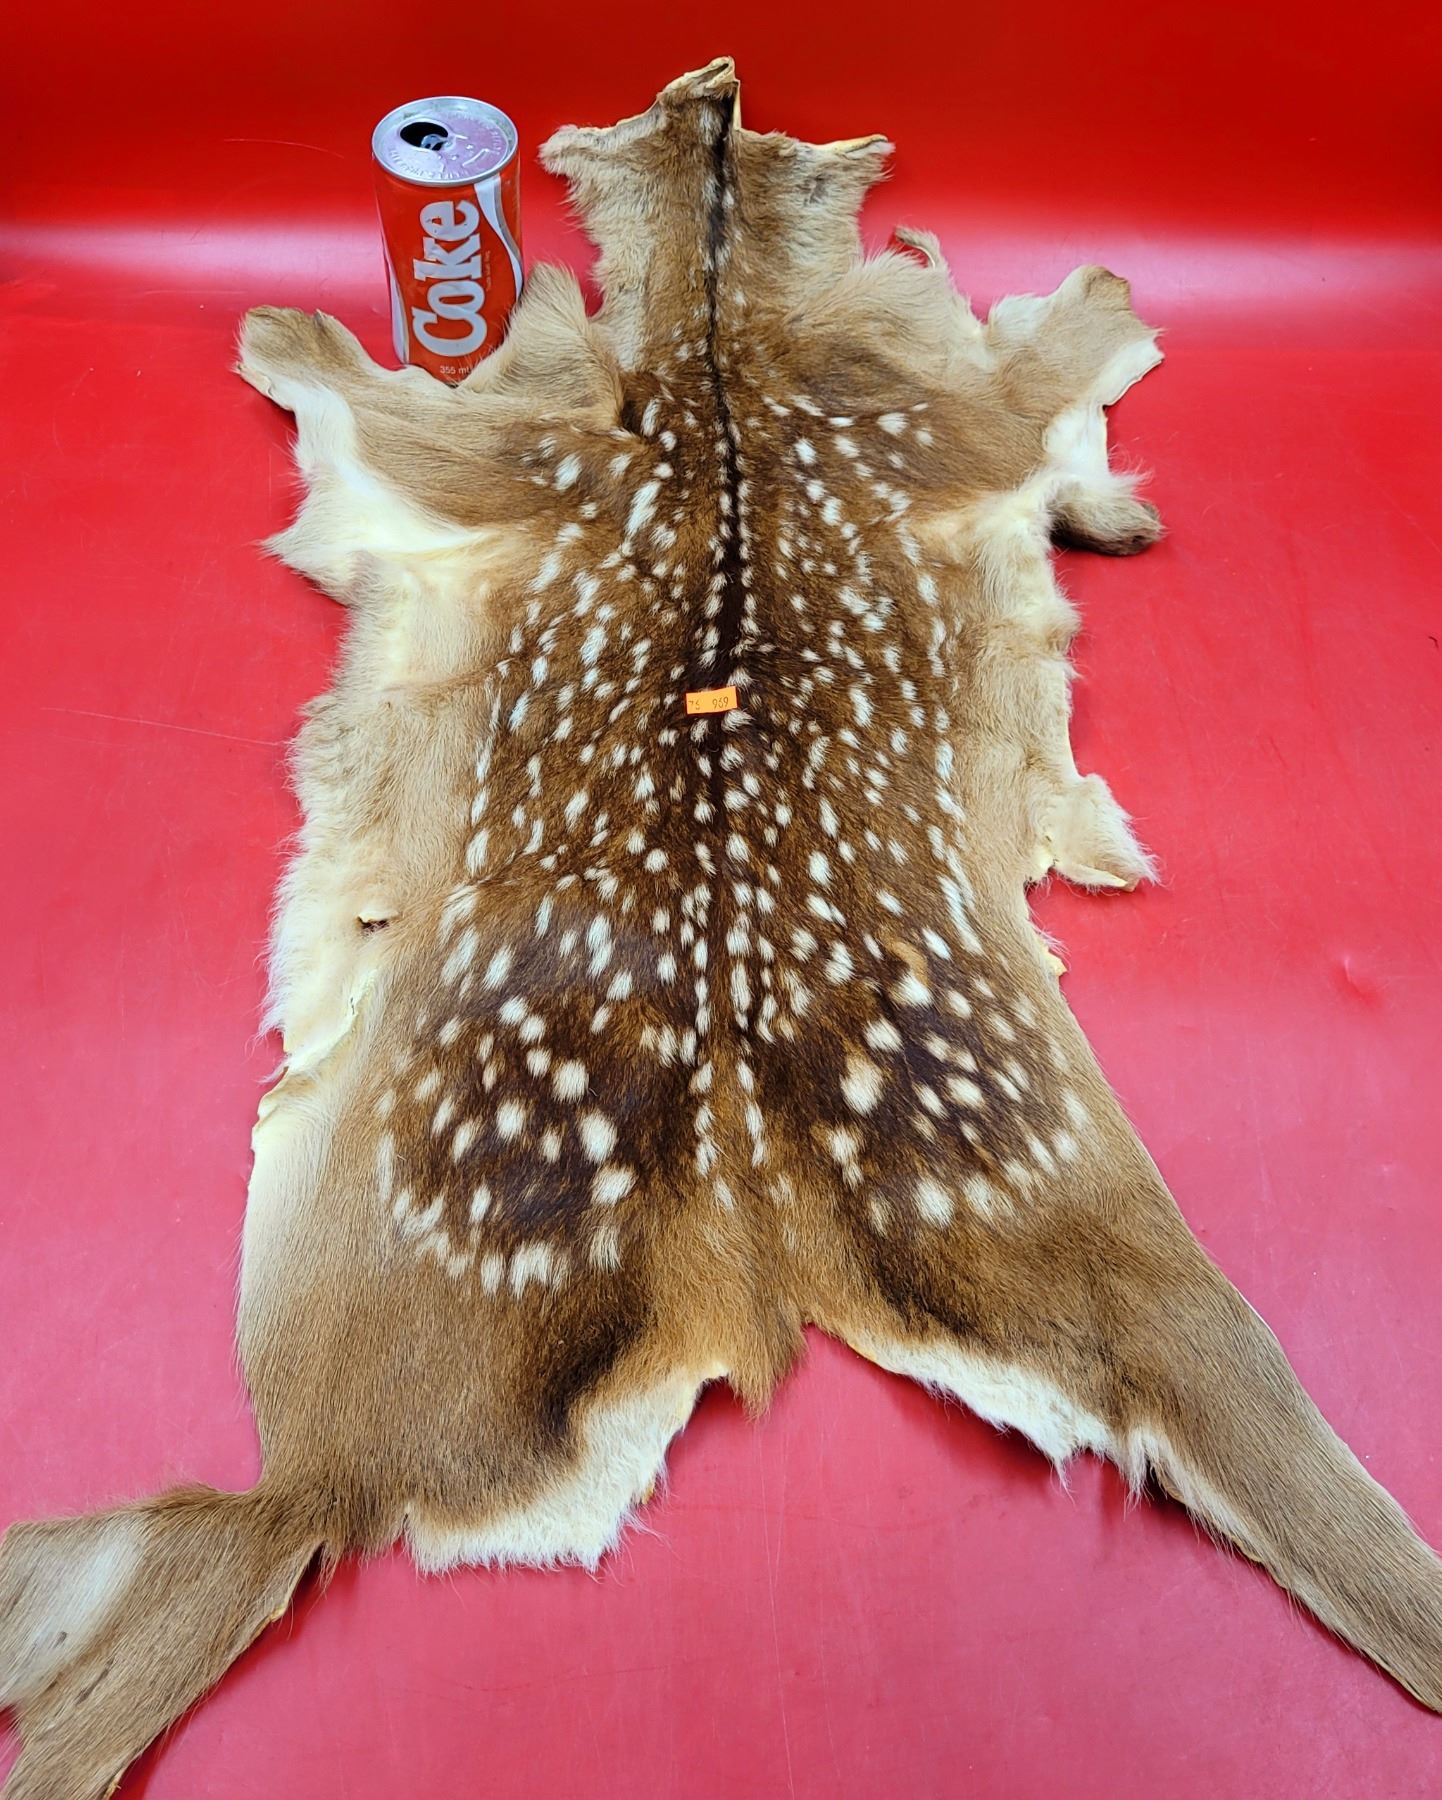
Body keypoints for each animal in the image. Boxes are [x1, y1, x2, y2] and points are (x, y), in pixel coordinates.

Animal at [2, 57, 1439, 1799]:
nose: (712, 78)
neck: (718, 358)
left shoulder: (503, 451)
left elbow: (1065, 361)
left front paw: (278, 322)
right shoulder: (861, 433)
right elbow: (1060, 384)